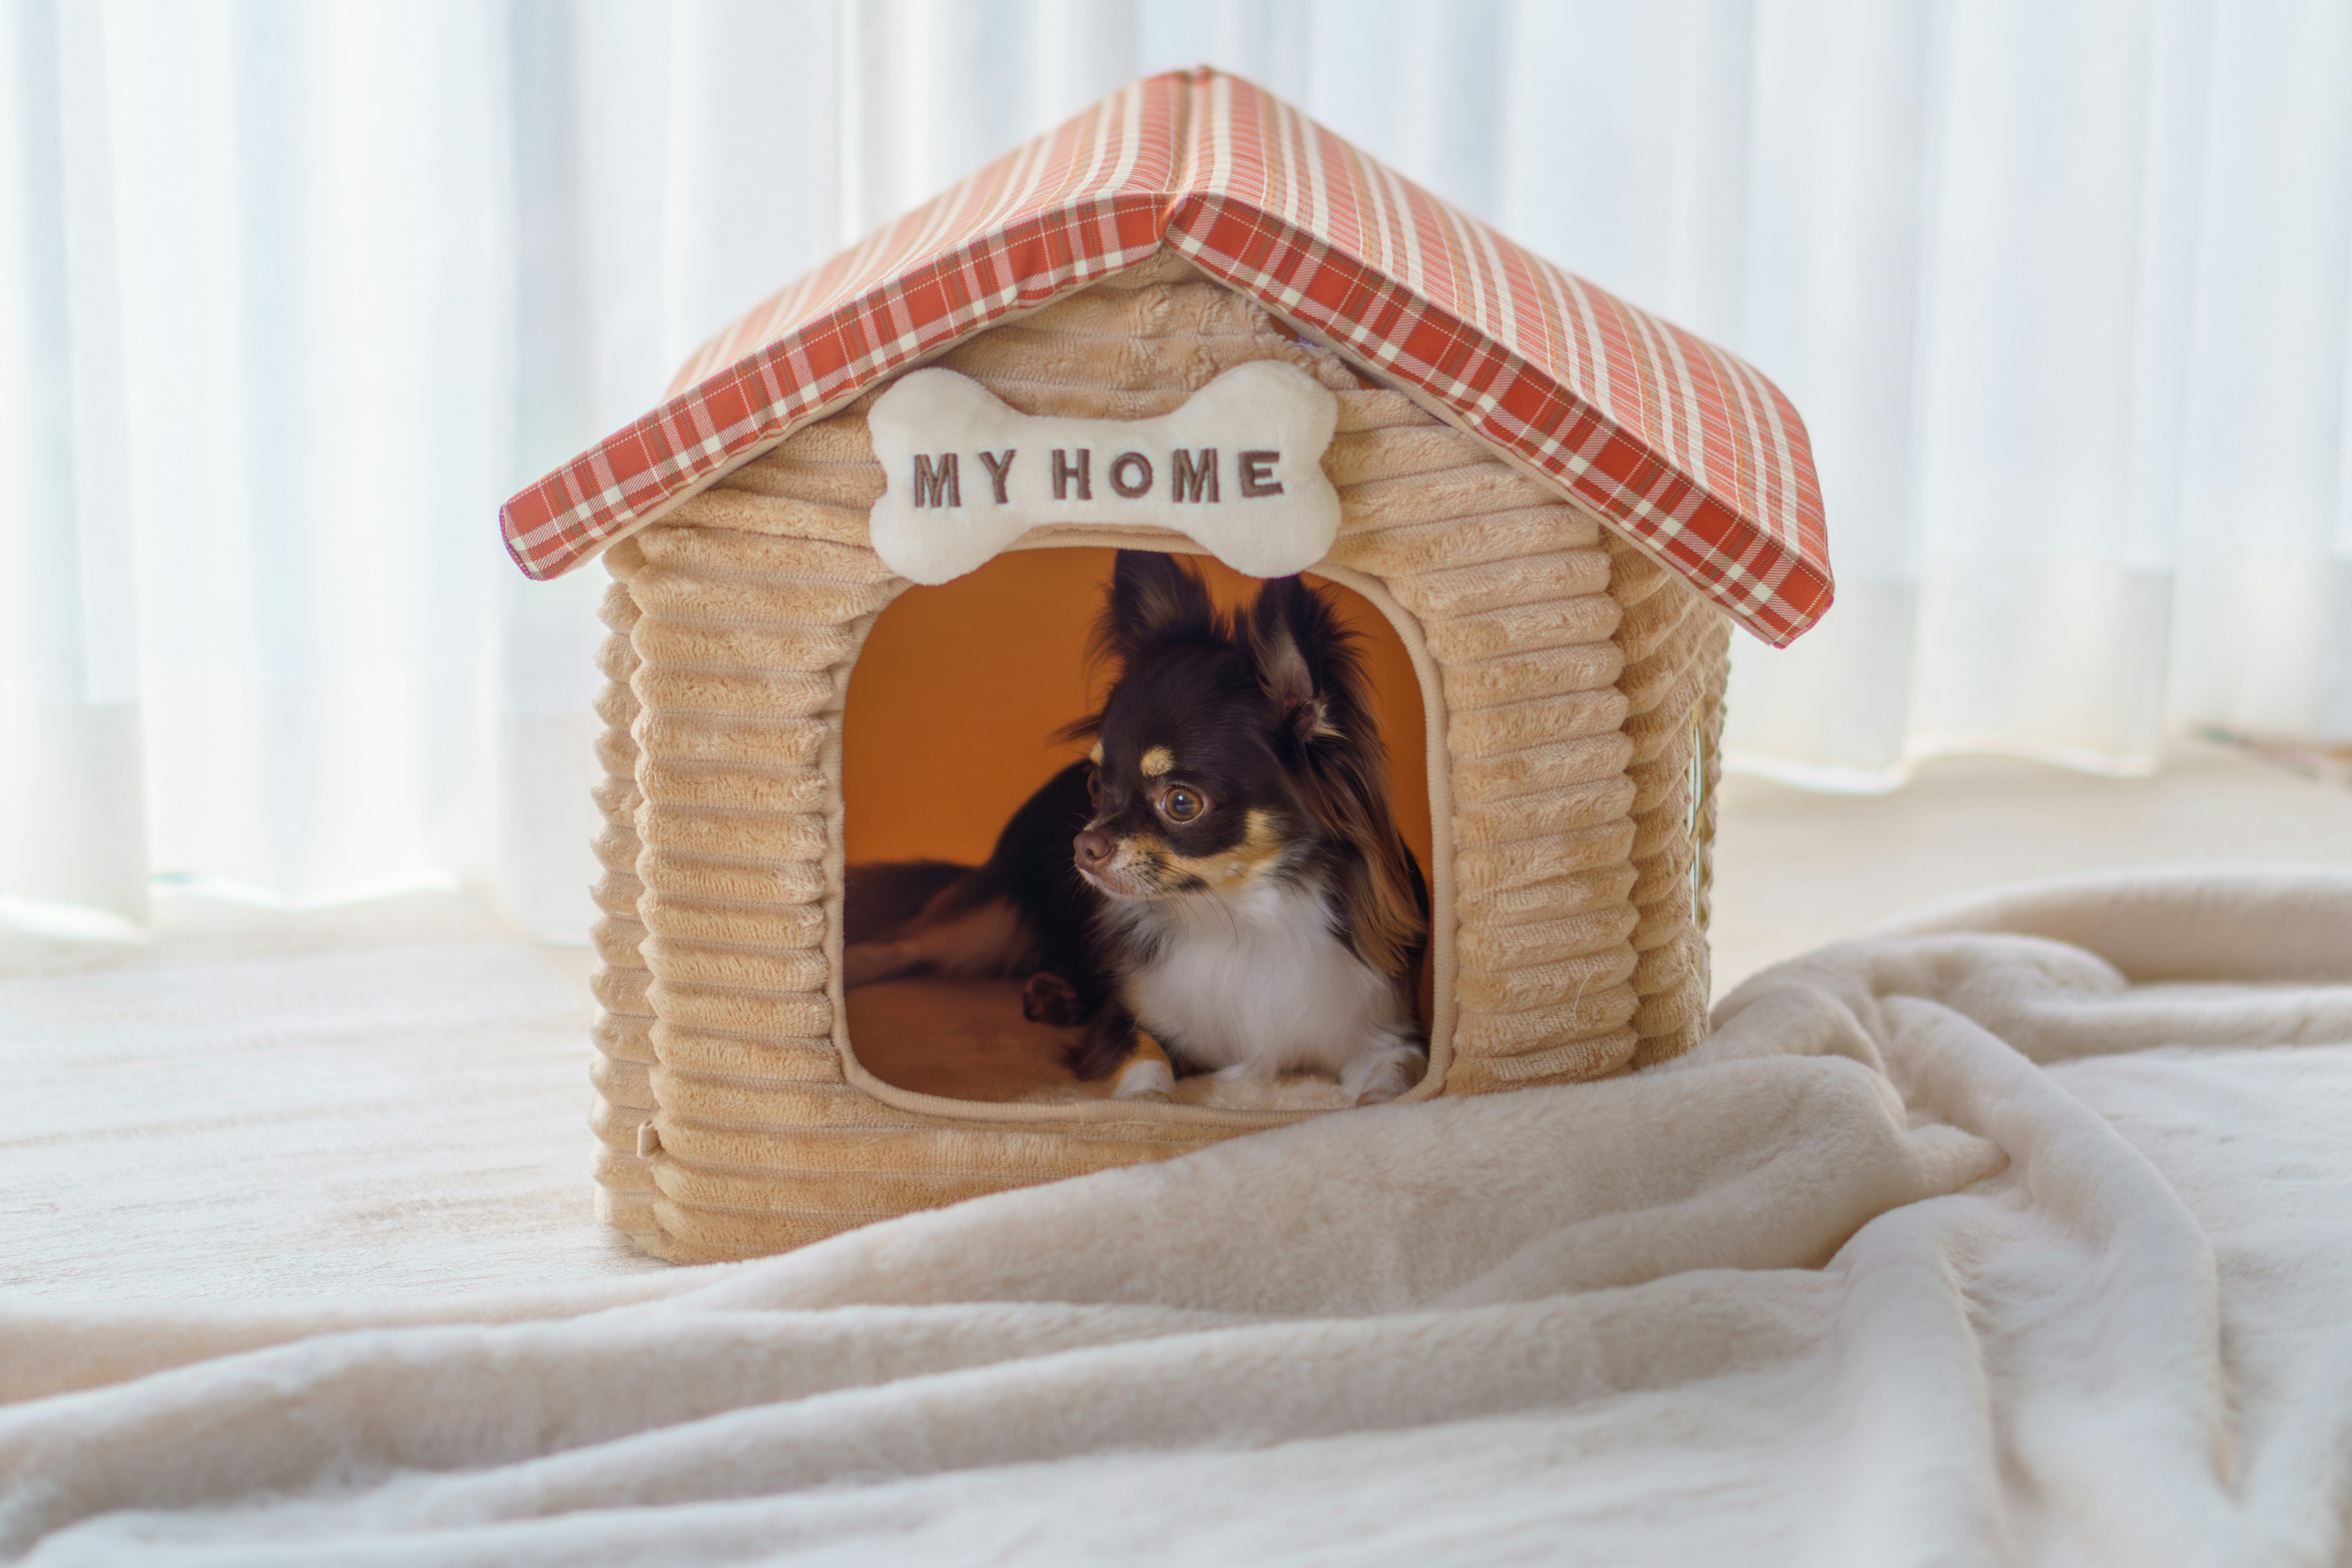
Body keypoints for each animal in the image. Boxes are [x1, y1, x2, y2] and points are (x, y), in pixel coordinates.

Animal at [846, 552, 1430, 1104]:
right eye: (1094, 785)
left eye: (1181, 802)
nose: (1083, 845)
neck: (1239, 917)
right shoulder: (1126, 1022)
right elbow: (1146, 1056)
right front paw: (1149, 1101)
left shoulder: (1389, 1035)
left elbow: (1396, 1078)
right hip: (992, 916)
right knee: (901, 944)